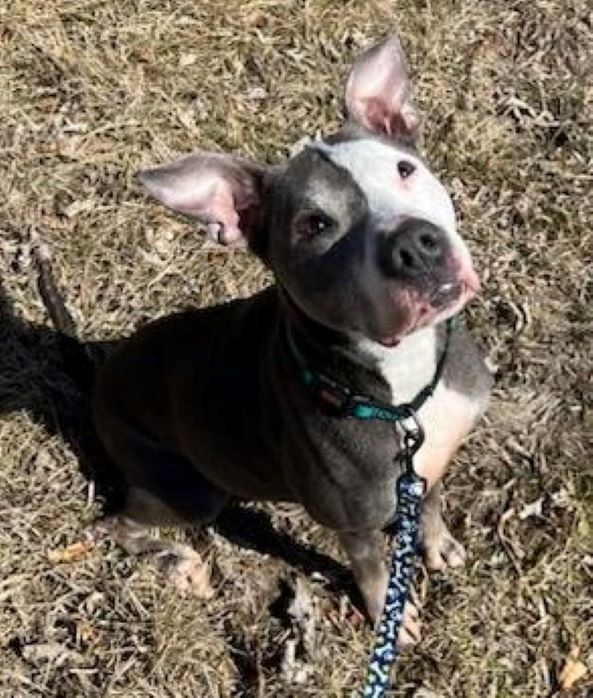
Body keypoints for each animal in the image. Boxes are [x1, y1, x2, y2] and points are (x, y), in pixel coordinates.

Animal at [38, 35, 490, 644]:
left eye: (404, 169)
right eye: (315, 226)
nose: (416, 247)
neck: (404, 385)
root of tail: (100, 377)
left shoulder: (428, 463)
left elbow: (434, 499)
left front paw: (437, 545)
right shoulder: (352, 524)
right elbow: (372, 572)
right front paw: (391, 620)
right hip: (192, 490)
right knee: (115, 524)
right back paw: (178, 561)